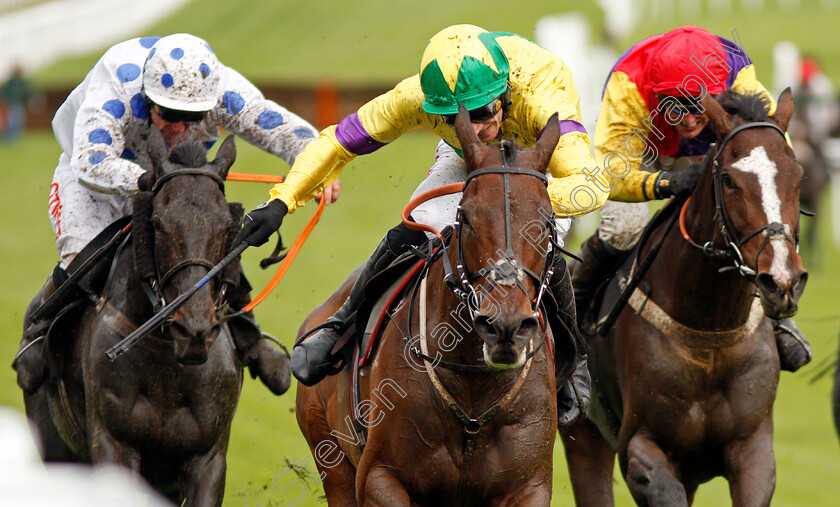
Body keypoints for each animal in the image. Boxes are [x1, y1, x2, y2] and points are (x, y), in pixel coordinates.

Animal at [23, 130, 244, 507]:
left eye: (227, 226)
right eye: (158, 223)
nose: (194, 330)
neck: (167, 357)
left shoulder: (208, 458)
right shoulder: (113, 443)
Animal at [296, 107, 576, 504]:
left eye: (546, 221)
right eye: (466, 216)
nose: (504, 325)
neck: (475, 388)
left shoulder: (529, 486)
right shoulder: (379, 476)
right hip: (332, 461)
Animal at [564, 91, 808, 507]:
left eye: (798, 176)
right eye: (728, 180)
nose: (782, 281)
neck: (709, 330)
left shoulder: (753, 449)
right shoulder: (641, 447)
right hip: (582, 434)